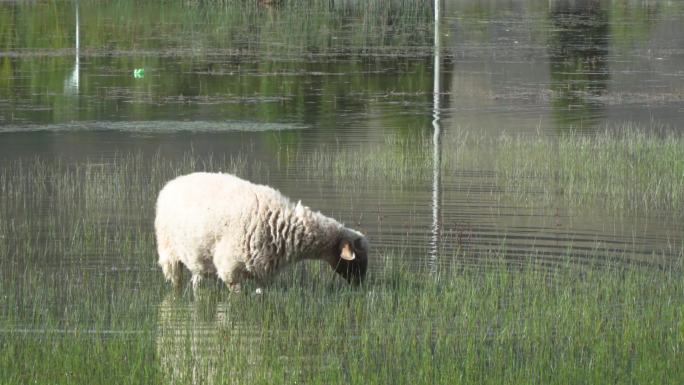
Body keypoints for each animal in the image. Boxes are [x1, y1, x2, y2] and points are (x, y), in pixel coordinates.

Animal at [154, 171, 368, 292]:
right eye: (357, 257)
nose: (360, 285)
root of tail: (172, 183)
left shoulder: (263, 273)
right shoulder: (230, 270)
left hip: (197, 259)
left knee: (196, 284)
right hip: (169, 253)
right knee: (175, 282)